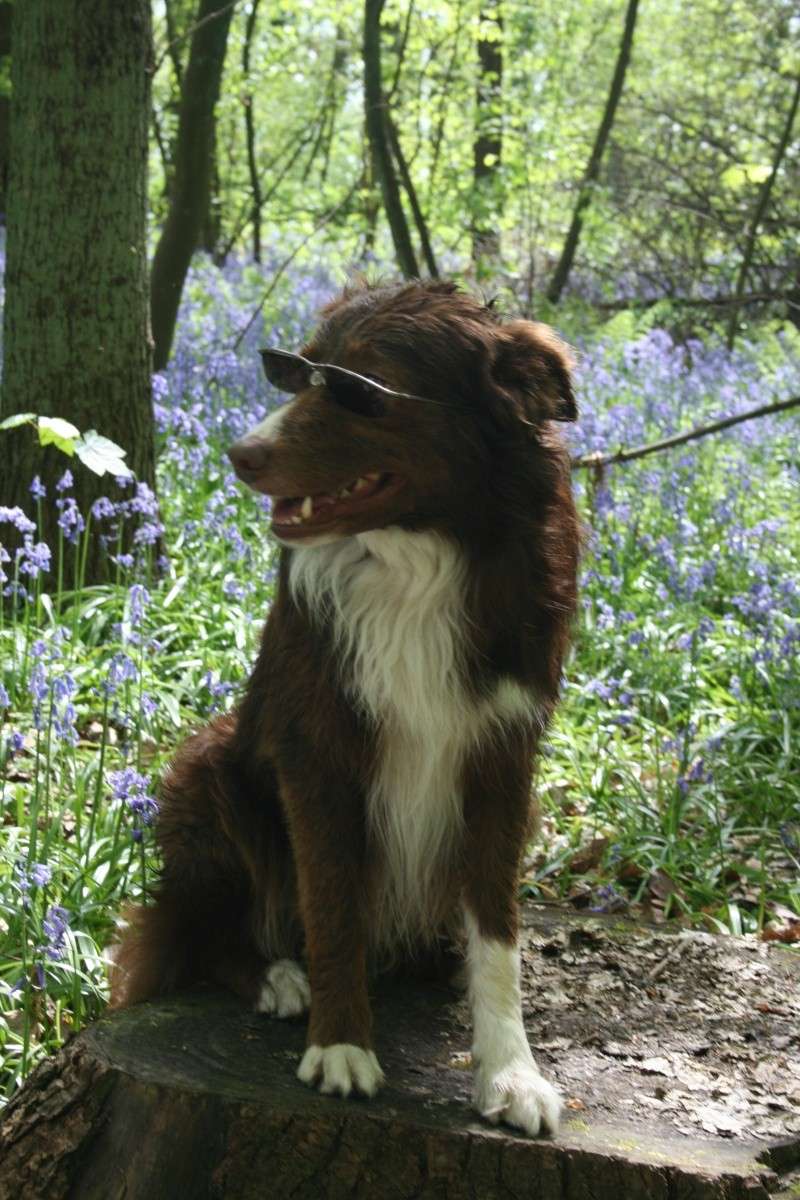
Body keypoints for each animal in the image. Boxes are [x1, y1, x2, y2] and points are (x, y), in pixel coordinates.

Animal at [112, 278, 578, 1132]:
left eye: (364, 390)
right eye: (293, 372)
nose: (239, 454)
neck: (422, 559)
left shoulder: (503, 754)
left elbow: (499, 934)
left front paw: (510, 1071)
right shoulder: (317, 747)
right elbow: (330, 903)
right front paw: (341, 1045)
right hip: (204, 768)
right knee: (201, 929)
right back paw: (277, 977)